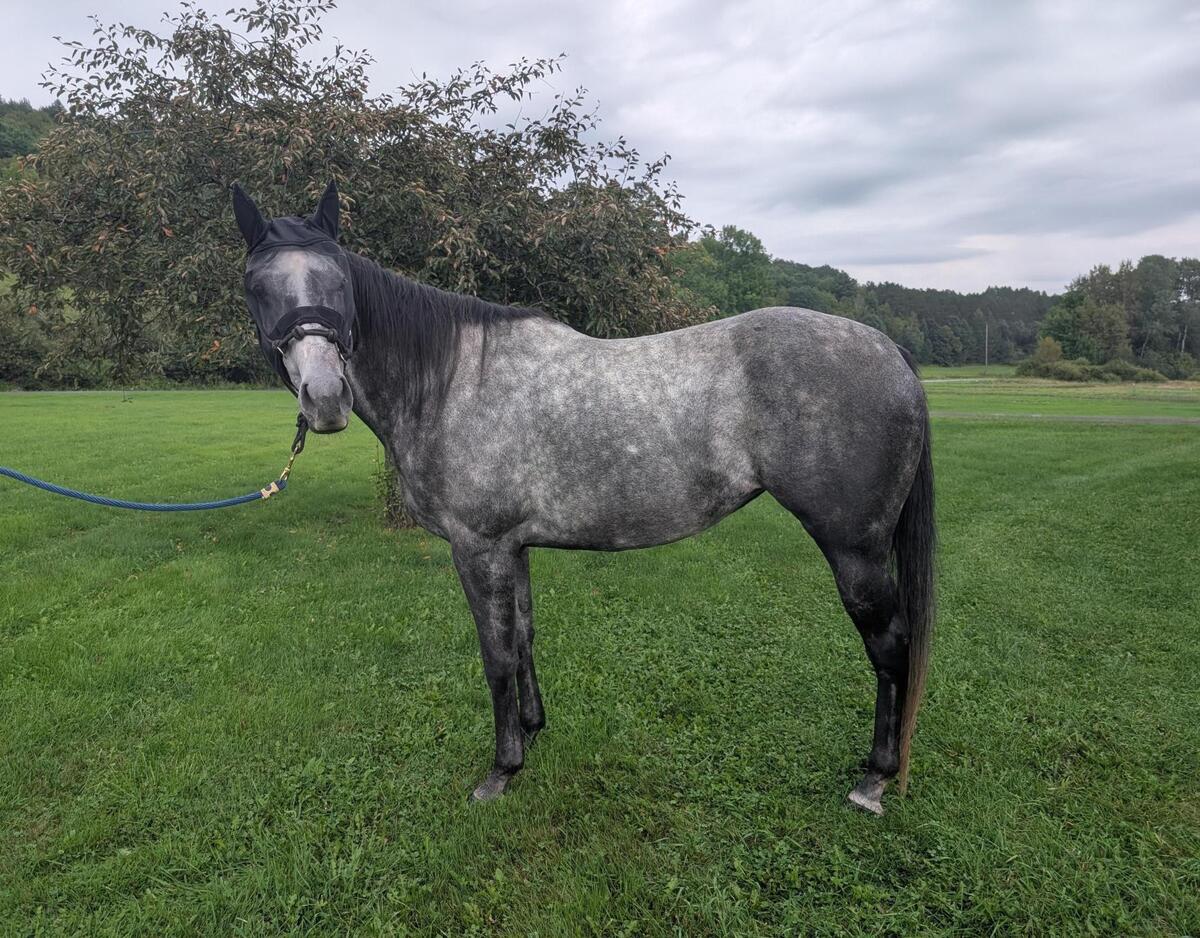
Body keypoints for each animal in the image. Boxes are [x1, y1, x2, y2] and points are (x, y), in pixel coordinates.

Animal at [231, 180, 935, 815]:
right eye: (257, 287)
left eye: (340, 284)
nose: (325, 399)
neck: (455, 379)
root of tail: (889, 349)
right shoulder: (511, 548)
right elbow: (523, 637)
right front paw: (533, 733)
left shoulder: (477, 549)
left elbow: (494, 656)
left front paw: (501, 770)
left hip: (855, 551)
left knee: (890, 648)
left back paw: (875, 779)